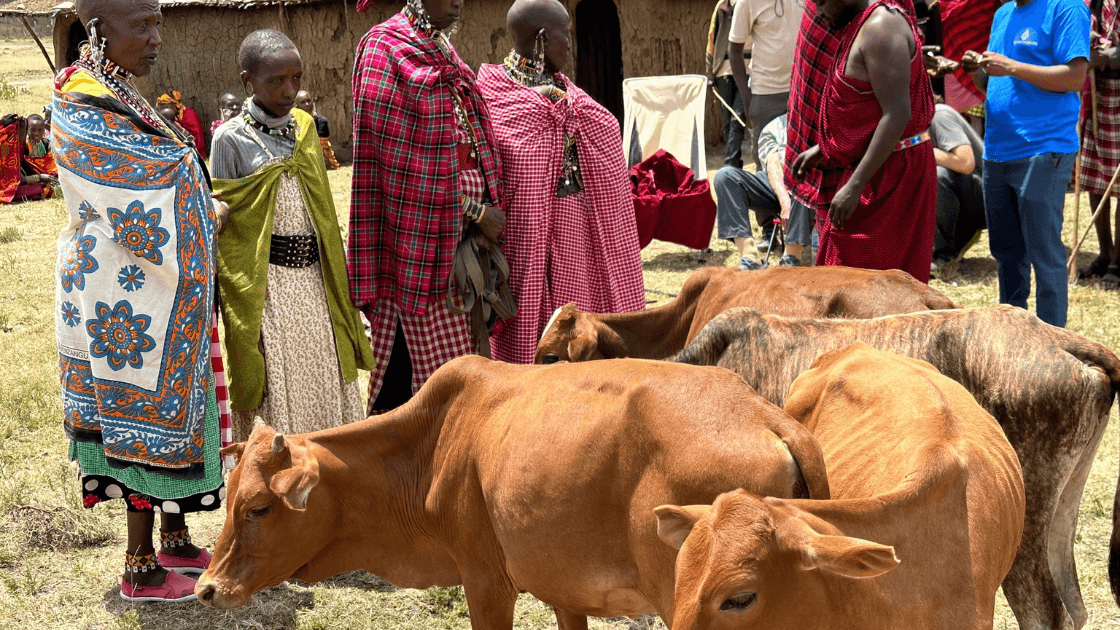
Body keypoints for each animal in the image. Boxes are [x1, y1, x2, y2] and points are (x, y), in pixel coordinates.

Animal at [194, 356, 830, 629]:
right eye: (229, 500)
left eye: (259, 507)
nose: (206, 589)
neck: (435, 443)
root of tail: (764, 414)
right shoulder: (567, 592)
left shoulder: (485, 582)